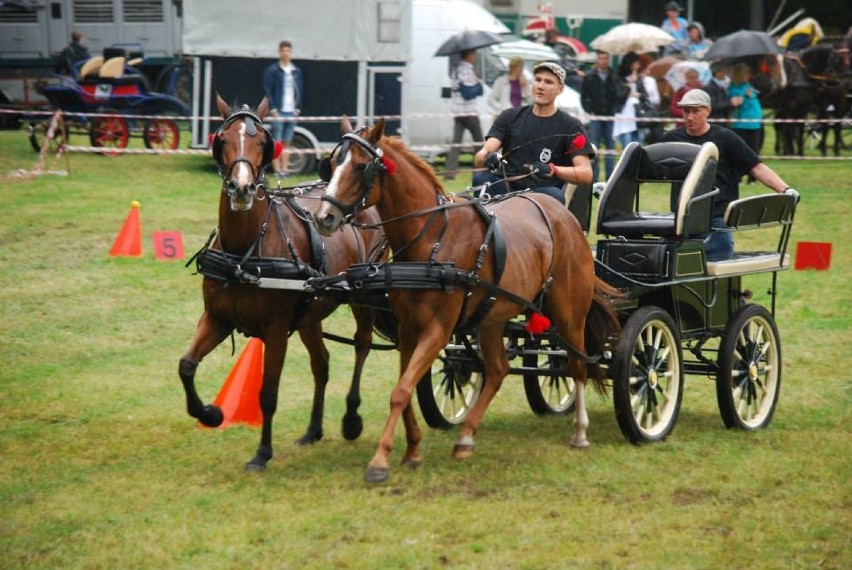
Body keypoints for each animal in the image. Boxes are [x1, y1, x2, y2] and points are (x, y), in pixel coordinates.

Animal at [180, 96, 386, 470]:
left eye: (263, 141)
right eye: (222, 139)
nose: (242, 189)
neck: (244, 252)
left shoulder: (275, 331)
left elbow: (268, 394)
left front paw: (262, 454)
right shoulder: (216, 318)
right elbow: (187, 366)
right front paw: (210, 413)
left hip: (364, 296)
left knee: (362, 344)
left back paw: (351, 418)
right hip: (310, 314)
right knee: (321, 363)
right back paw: (313, 430)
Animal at [312, 117, 620, 482]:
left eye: (361, 167)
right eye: (332, 165)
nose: (324, 218)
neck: (432, 239)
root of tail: (566, 217)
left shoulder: (438, 329)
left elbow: (400, 392)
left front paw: (380, 461)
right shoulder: (408, 330)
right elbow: (407, 388)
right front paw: (412, 449)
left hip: (569, 313)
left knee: (577, 366)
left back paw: (580, 432)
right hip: (492, 318)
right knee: (498, 370)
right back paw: (465, 438)